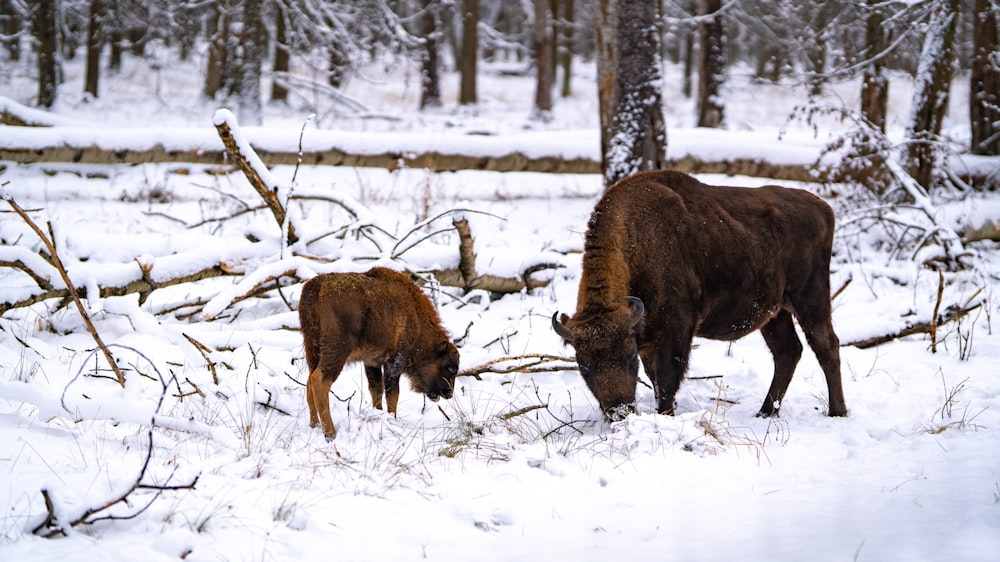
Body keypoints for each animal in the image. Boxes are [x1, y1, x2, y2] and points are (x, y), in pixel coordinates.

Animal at [300, 266, 460, 438]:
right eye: (450, 368)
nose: (449, 394)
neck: (415, 316)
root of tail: (318, 287)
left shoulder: (372, 362)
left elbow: (376, 390)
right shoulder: (394, 362)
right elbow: (392, 394)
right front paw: (392, 419)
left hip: (312, 350)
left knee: (309, 381)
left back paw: (314, 425)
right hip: (337, 351)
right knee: (319, 381)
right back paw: (330, 432)